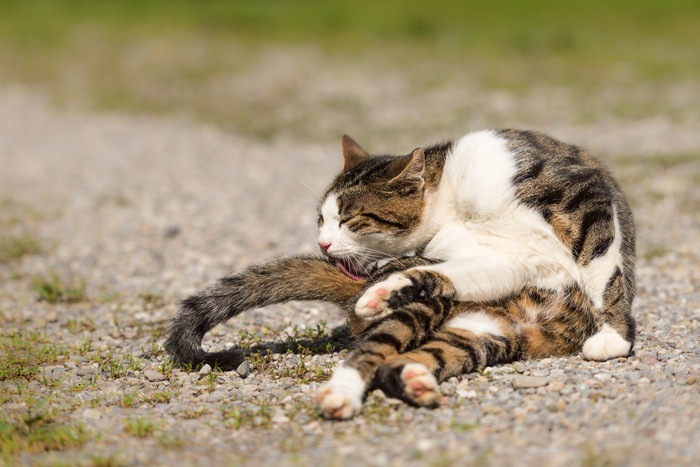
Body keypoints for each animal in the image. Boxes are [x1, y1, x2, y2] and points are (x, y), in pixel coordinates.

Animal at [164, 129, 636, 420]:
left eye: (349, 220)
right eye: (321, 220)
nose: (322, 244)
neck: (451, 204)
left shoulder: (579, 195)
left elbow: (604, 270)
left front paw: (613, 335)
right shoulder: (497, 259)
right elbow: (453, 271)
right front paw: (392, 288)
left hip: (479, 334)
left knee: (408, 358)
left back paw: (413, 378)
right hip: (435, 316)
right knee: (374, 351)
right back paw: (347, 384)